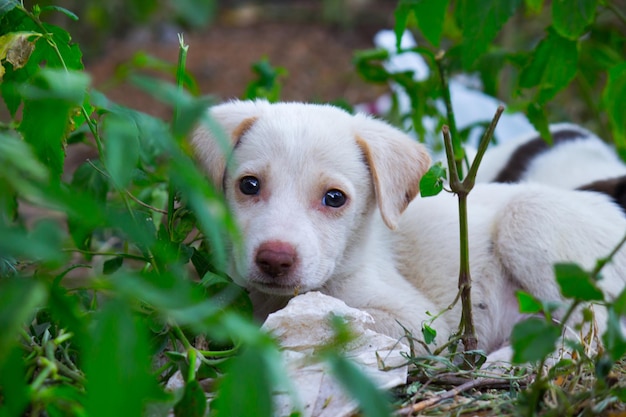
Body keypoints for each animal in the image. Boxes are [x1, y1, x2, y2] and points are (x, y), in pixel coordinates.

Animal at [191, 100, 624, 354]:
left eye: (335, 198)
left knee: (592, 332)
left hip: (532, 222)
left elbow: (338, 322)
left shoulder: (416, 322)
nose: (275, 259)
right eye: (249, 186)